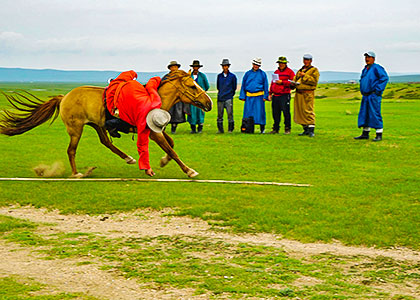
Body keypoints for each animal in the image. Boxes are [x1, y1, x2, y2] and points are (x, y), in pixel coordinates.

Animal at [0, 69, 212, 178]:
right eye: (193, 86)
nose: (209, 102)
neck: (154, 98)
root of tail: (64, 97)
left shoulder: (156, 131)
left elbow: (171, 145)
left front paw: (162, 161)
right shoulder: (152, 133)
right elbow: (172, 150)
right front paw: (189, 170)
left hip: (97, 125)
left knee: (106, 142)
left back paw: (128, 158)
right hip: (76, 129)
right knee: (71, 150)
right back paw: (77, 174)